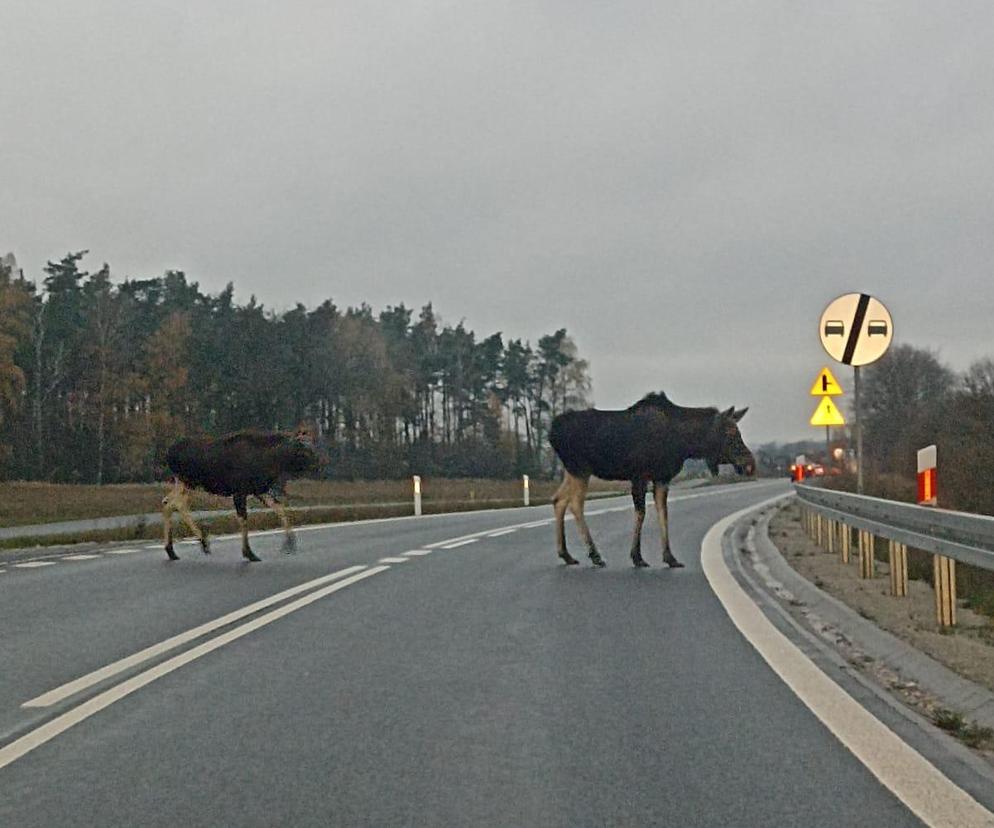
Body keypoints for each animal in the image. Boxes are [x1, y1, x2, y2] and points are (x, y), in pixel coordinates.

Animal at [163, 426, 318, 564]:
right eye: (302, 450)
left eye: (311, 447)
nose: (318, 465)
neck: (271, 462)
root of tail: (168, 453)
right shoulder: (239, 492)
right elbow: (243, 519)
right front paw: (249, 553)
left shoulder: (259, 490)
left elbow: (280, 508)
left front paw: (290, 542)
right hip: (189, 481)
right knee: (176, 504)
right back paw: (203, 542)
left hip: (184, 482)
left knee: (167, 502)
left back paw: (172, 550)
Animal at [548, 394, 748, 568]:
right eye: (730, 433)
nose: (750, 464)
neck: (684, 443)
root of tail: (551, 433)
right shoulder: (639, 476)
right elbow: (642, 512)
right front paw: (637, 556)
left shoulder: (661, 478)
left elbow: (663, 512)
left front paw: (669, 557)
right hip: (580, 469)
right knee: (575, 504)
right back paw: (594, 555)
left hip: (573, 471)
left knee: (559, 499)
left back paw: (566, 554)